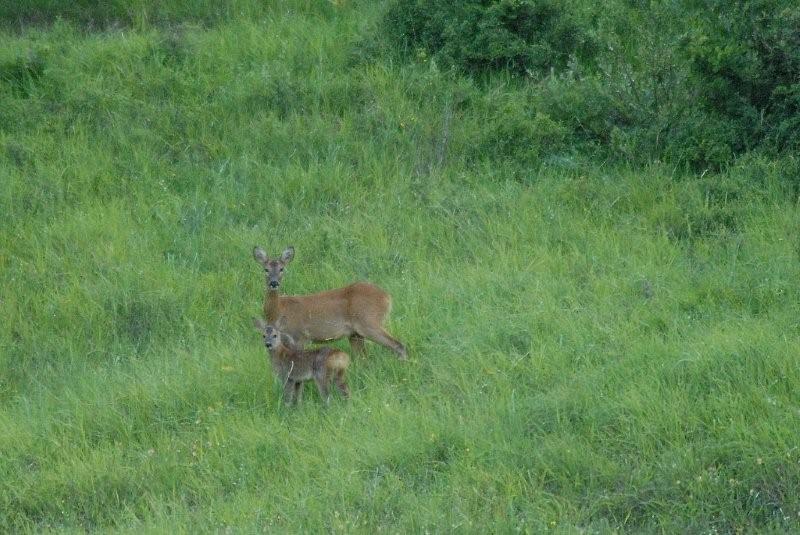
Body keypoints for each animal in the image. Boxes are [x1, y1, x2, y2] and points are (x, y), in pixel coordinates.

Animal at [253, 247, 410, 360]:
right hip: (355, 334)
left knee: (398, 345)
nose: (274, 283)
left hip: (369, 322)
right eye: (266, 269)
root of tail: (387, 297)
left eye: (282, 269)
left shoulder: (300, 337)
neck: (280, 309)